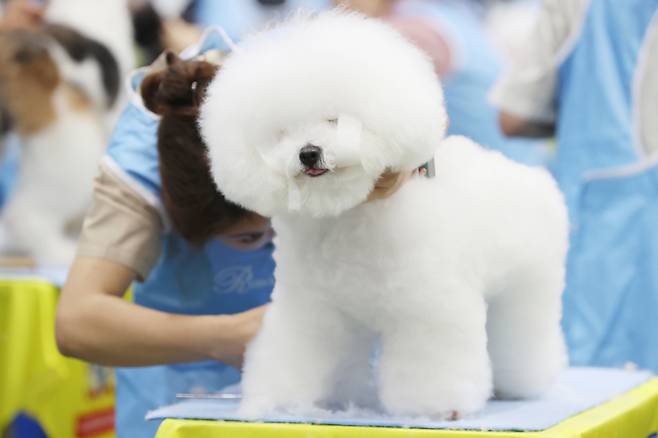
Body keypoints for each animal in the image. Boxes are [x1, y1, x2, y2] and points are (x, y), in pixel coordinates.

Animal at [200, 12, 568, 420]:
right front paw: (279, 401)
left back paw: (521, 384)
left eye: (334, 120)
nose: (308, 152)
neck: (348, 220)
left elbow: (432, 356)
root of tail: (536, 180)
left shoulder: (426, 306)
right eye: (282, 133)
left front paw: (434, 407)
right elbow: (297, 351)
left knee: (524, 335)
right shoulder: (312, 310)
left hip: (528, 287)